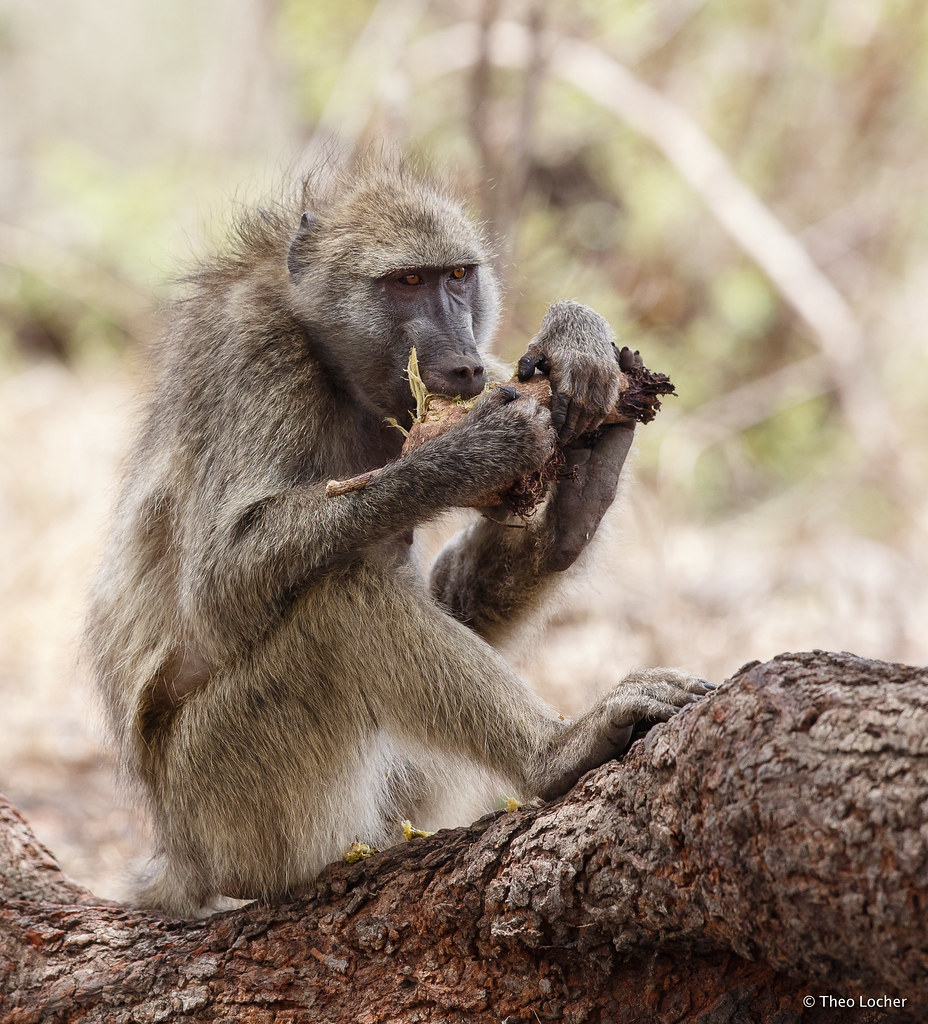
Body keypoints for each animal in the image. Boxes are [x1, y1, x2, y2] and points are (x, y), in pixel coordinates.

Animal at [85, 161, 711, 917]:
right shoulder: (257, 356)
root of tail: (179, 854)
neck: (327, 355)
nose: (466, 363)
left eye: (458, 276)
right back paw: (558, 751)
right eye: (408, 282)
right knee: (341, 603)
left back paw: (583, 495)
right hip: (229, 794)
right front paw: (469, 453)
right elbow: (219, 585)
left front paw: (574, 337)